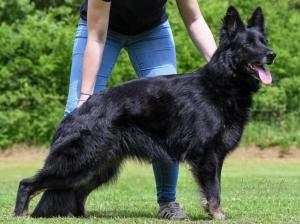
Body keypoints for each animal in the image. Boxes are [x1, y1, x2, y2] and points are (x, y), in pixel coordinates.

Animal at [14, 6, 276, 220]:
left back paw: (81, 215)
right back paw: (21, 213)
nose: (272, 54)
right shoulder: (207, 156)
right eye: (248, 44)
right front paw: (219, 215)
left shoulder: (214, 157)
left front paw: (214, 213)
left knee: (76, 191)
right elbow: (214, 191)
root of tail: (76, 114)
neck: (222, 83)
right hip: (80, 161)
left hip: (99, 167)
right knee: (27, 183)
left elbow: (214, 189)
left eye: (263, 41)